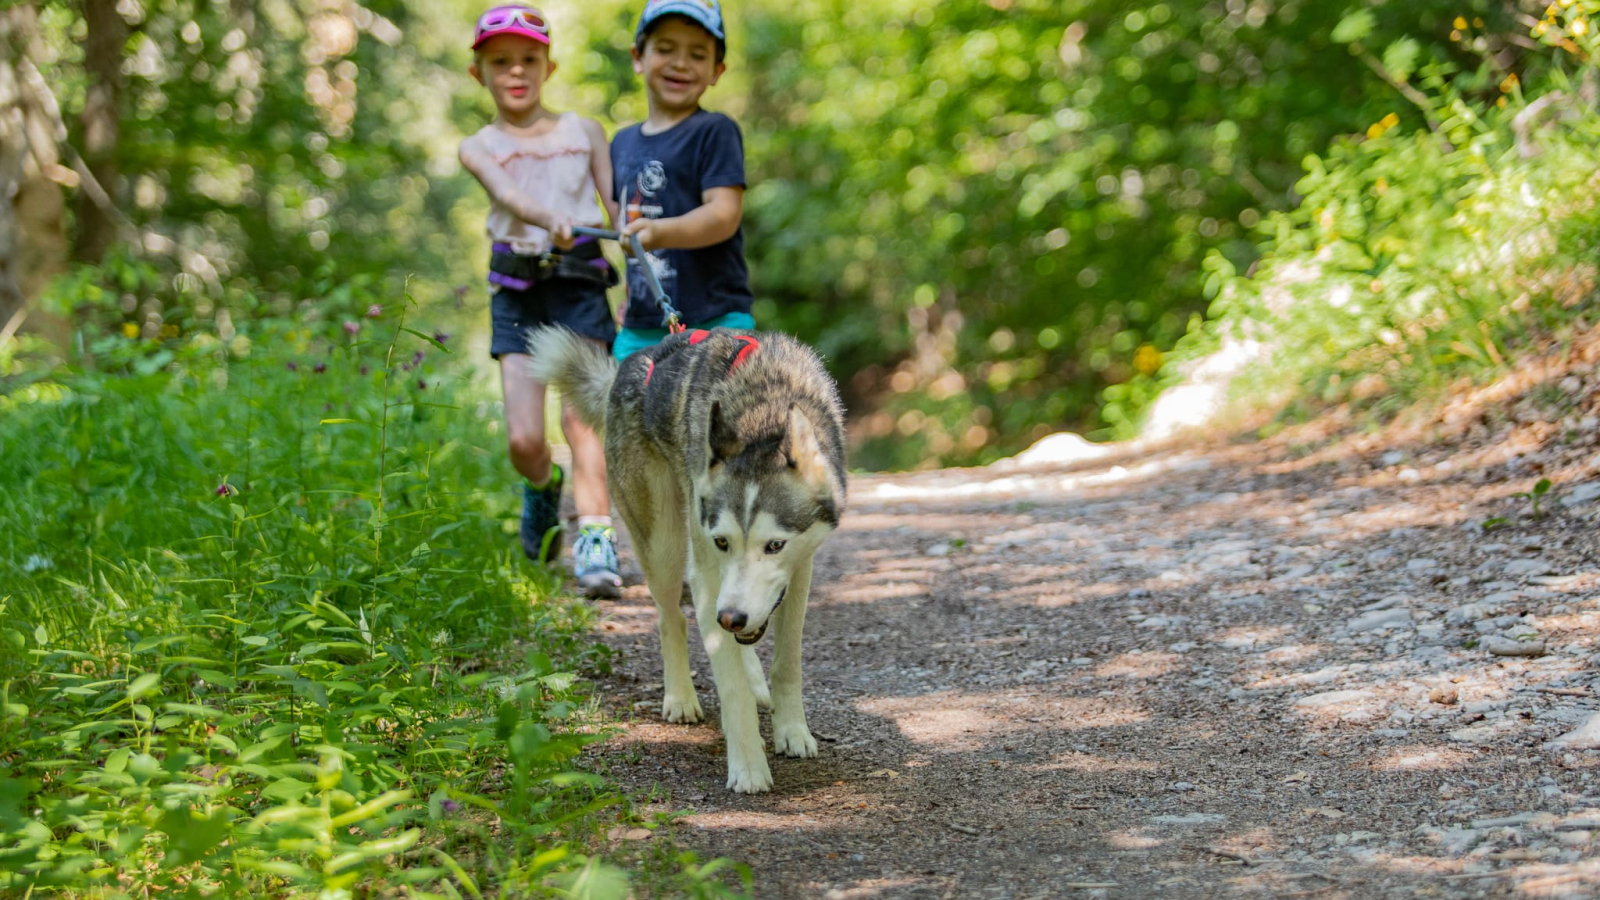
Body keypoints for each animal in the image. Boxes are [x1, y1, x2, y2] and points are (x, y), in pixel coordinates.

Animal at [524, 325, 851, 787]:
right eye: (722, 541)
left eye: (775, 545)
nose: (731, 618)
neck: (762, 414)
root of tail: (626, 369)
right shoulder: (709, 574)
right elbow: (729, 683)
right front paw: (748, 766)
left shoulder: (799, 570)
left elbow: (787, 662)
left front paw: (791, 730)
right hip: (664, 547)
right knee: (670, 619)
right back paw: (680, 696)